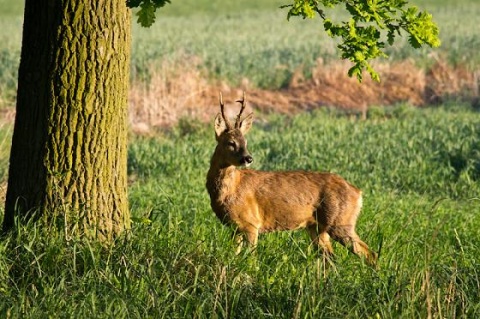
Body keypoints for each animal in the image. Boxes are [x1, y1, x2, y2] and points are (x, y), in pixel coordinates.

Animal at [205, 94, 376, 266]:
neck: (230, 191)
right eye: (231, 143)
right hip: (317, 228)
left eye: (245, 142)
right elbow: (233, 256)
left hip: (341, 221)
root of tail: (358, 192)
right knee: (330, 258)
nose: (248, 158)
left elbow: (250, 259)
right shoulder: (235, 228)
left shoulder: (251, 224)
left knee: (370, 254)